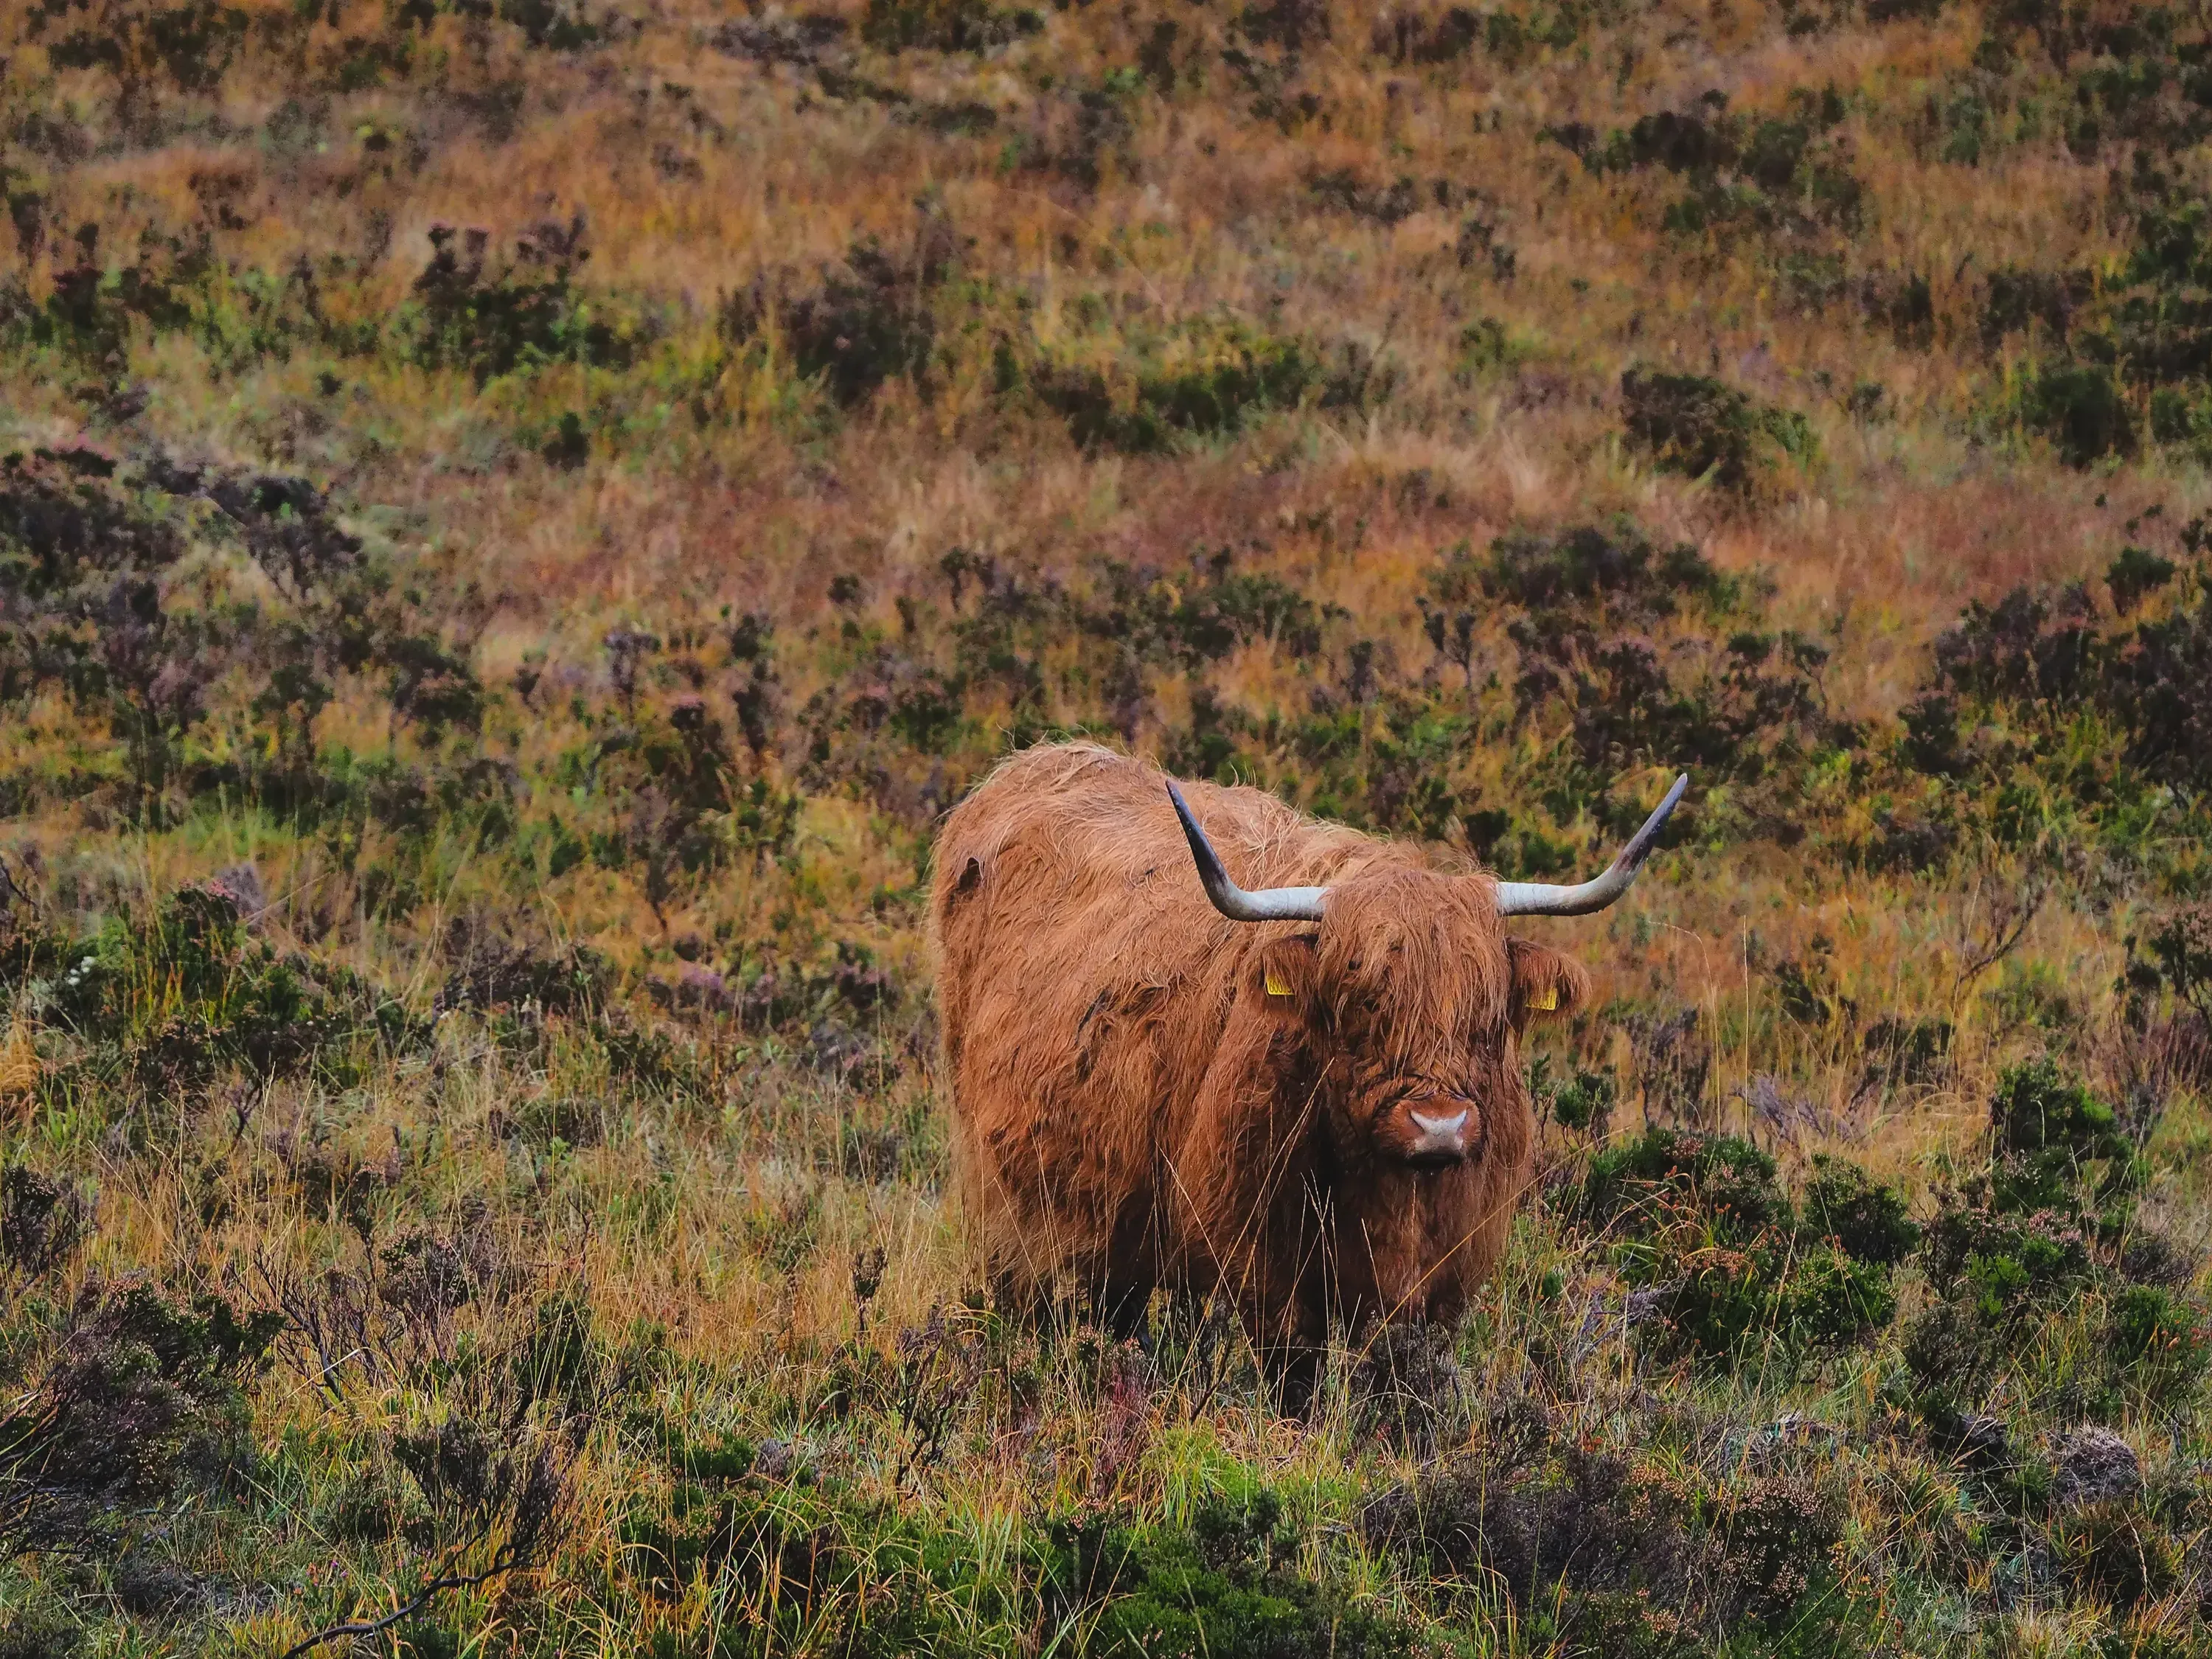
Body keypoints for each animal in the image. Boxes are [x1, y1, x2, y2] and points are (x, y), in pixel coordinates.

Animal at [929, 740, 1686, 1398]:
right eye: (1360, 1002)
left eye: (1487, 1012)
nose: (1439, 1127)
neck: (1387, 1195)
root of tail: (1039, 760)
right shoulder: (1266, 1273)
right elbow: (1294, 1381)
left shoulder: (1447, 1275)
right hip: (1009, 1201)